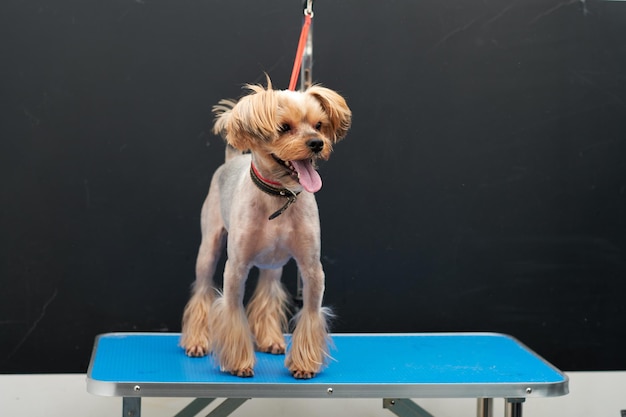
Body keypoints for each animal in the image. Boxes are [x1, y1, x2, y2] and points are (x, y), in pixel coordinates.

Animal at [179, 76, 352, 378]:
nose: (317, 143)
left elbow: (310, 313)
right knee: (201, 290)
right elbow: (233, 311)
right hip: (208, 249)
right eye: (283, 128)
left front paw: (304, 364)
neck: (279, 195)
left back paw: (270, 339)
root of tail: (231, 159)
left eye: (319, 125)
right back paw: (196, 341)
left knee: (268, 292)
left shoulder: (312, 268)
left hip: (273, 263)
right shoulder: (236, 267)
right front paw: (238, 363)